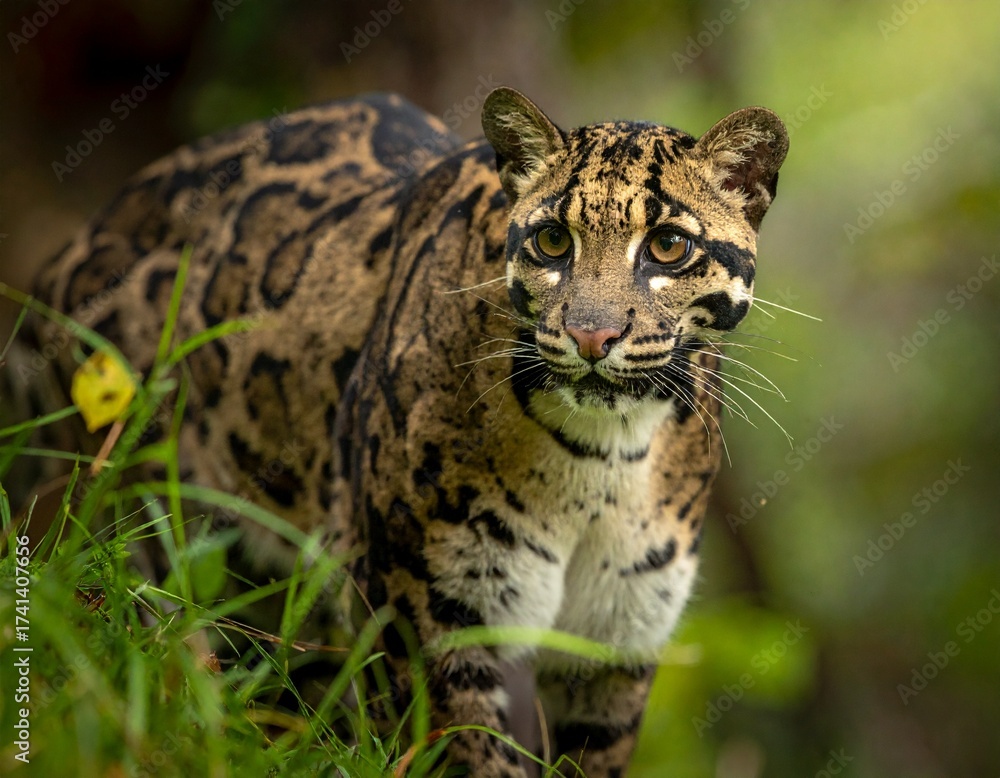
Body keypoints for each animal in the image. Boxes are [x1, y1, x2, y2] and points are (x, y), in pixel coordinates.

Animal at [15, 86, 787, 776]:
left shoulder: (617, 636)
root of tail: (74, 245)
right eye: (551, 240)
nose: (591, 336)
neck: (602, 458)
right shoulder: (421, 606)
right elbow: (462, 756)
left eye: (668, 246)